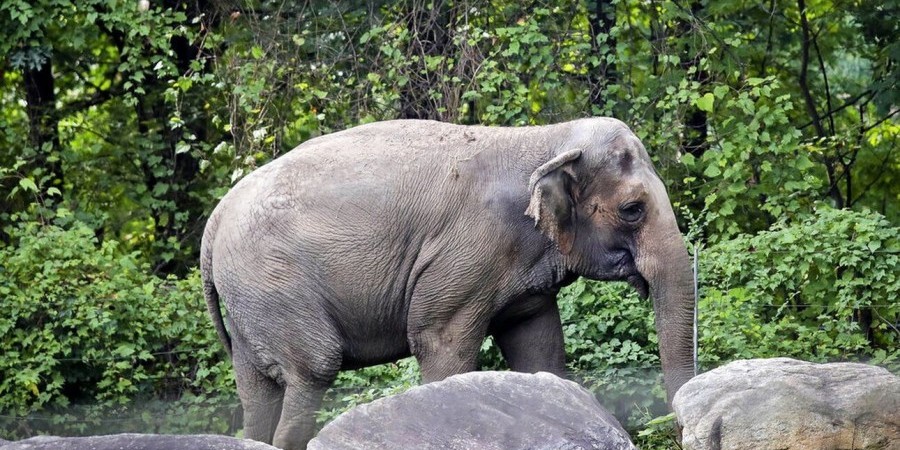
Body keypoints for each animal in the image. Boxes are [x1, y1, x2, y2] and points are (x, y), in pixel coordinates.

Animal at [202, 118, 696, 448]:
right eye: (632, 209)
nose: (677, 430)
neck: (544, 137)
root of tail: (216, 218)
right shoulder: (466, 254)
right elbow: (441, 343)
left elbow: (539, 347)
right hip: (274, 283)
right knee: (313, 369)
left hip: (251, 299)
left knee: (256, 391)